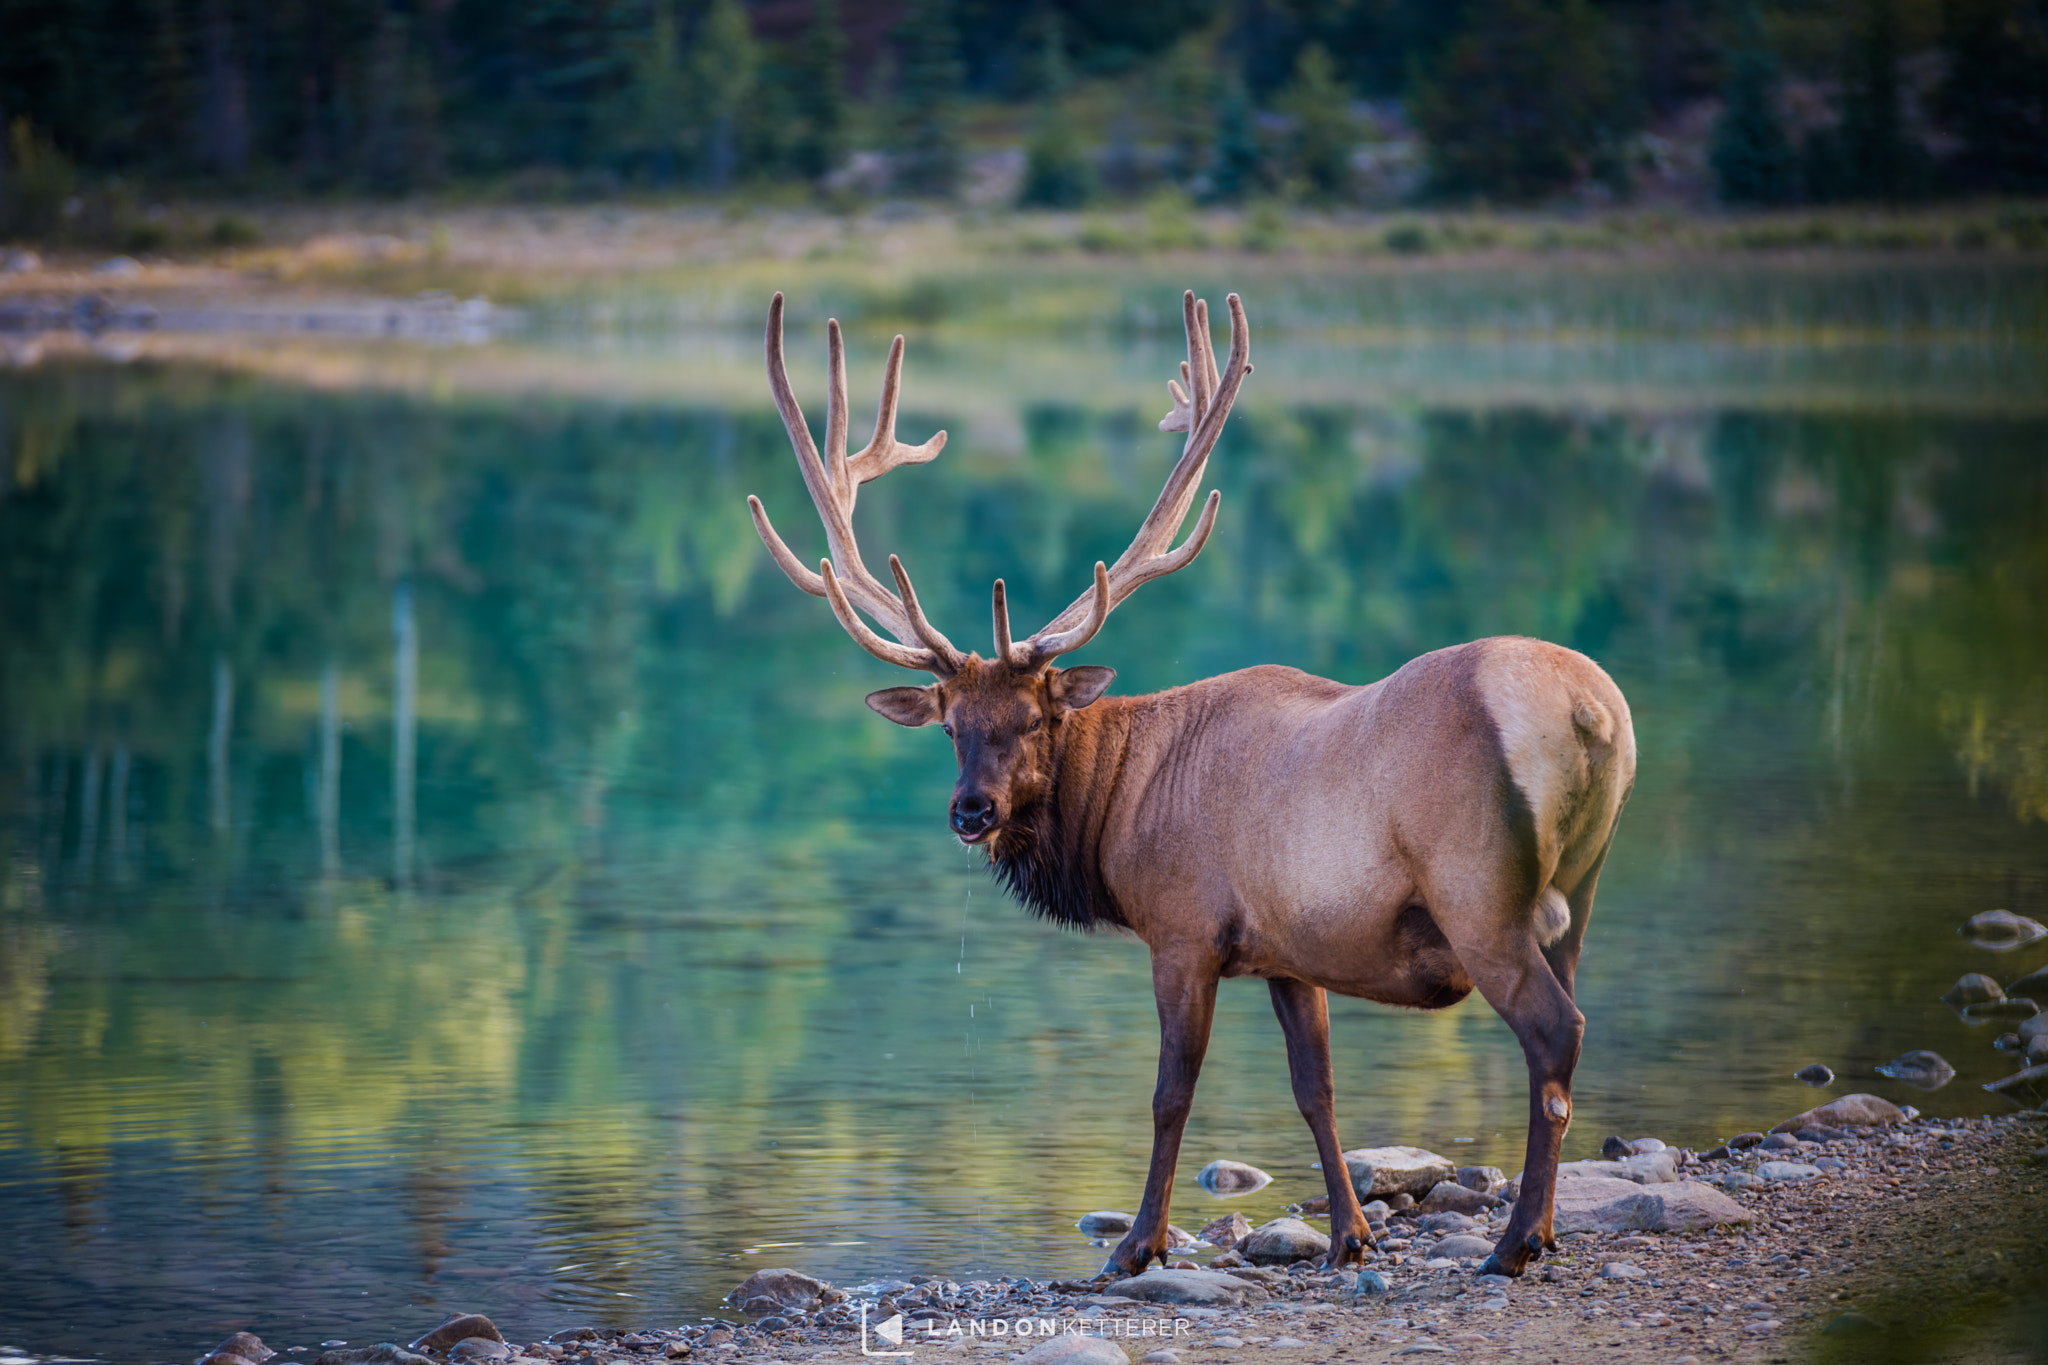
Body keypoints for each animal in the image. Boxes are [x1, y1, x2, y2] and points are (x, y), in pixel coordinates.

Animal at [746, 289, 1636, 1281]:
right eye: (950, 725)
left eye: (1033, 718)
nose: (970, 810)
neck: (1118, 809)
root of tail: (1593, 713)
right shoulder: (1289, 949)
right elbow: (1315, 1087)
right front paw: (1351, 1234)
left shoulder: (1181, 929)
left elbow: (1170, 1091)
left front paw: (1137, 1244)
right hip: (1580, 890)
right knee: (1566, 1025)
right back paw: (1535, 1228)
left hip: (1479, 890)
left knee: (1555, 1031)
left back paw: (1518, 1241)